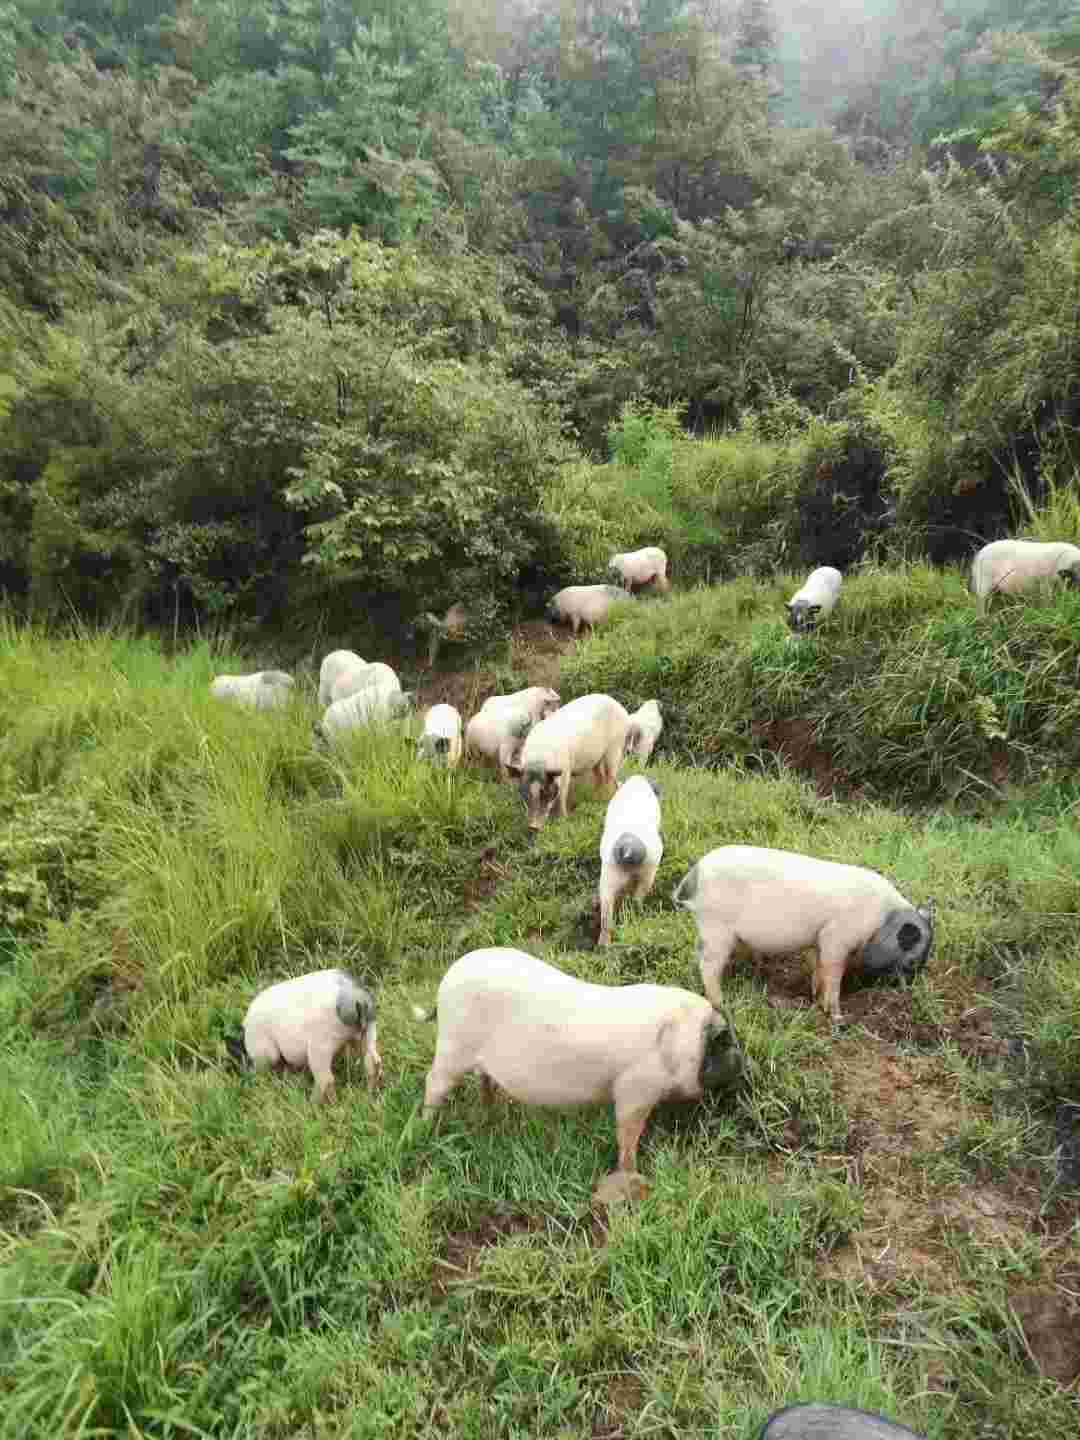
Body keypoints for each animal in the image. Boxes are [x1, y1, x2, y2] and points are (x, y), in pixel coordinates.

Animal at [234, 967, 385, 1100]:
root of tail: (359, 1000)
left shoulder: (264, 1055)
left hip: (321, 1045)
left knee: (326, 1079)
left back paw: (314, 1104)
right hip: (369, 1031)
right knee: (373, 1062)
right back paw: (369, 1096)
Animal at [411, 944, 743, 1180]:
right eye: (721, 1041)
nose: (742, 1060)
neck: (672, 1044)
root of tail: (447, 979)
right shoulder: (633, 1091)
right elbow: (627, 1134)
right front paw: (632, 1173)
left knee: (484, 1081)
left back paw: (490, 1113)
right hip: (453, 1047)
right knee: (433, 1083)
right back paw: (427, 1126)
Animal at [509, 694, 633, 835]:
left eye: (546, 792)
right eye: (525, 794)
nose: (533, 827)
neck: (538, 762)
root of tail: (623, 711)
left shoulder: (566, 771)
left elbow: (562, 797)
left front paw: (563, 820)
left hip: (615, 748)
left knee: (612, 779)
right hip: (596, 759)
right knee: (600, 777)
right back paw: (595, 799)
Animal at [596, 777, 665, 944]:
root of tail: (628, 847)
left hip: (609, 876)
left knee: (606, 913)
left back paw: (603, 944)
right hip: (649, 871)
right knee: (637, 898)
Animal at [676, 840, 938, 1025]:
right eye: (912, 962)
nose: (907, 992)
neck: (881, 920)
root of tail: (695, 873)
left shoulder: (818, 939)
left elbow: (818, 968)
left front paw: (815, 997)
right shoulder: (836, 938)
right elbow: (833, 974)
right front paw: (837, 1016)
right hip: (715, 928)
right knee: (707, 966)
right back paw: (722, 1005)